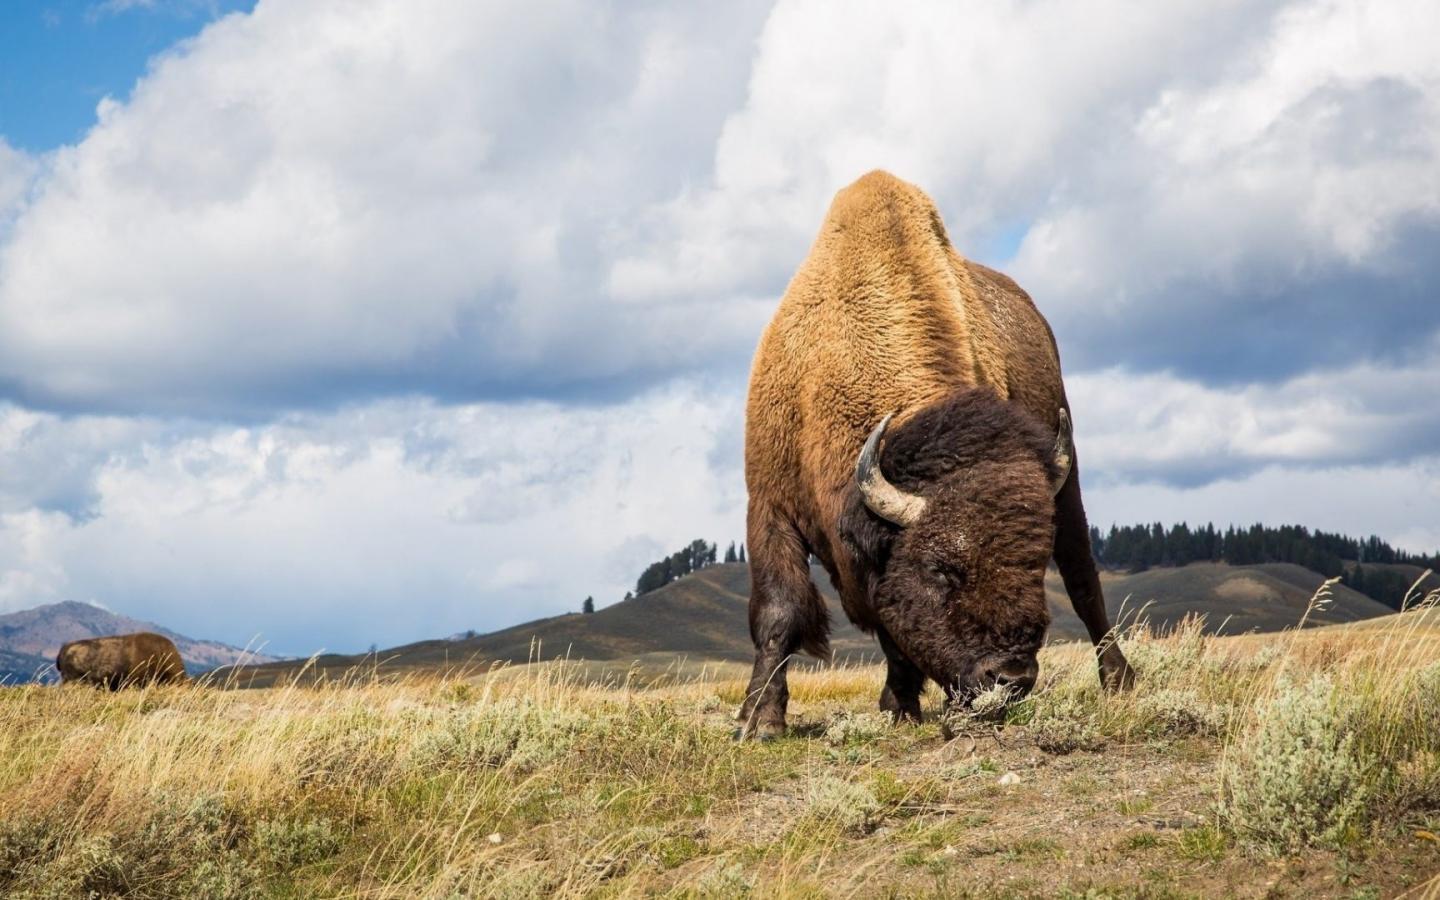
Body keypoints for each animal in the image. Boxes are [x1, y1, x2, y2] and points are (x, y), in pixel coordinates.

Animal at [740, 170, 1134, 738]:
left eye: (1034, 566)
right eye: (941, 569)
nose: (1010, 678)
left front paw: (901, 705)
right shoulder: (770, 504)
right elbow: (780, 613)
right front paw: (759, 722)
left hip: (1070, 477)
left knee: (1085, 583)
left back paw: (1119, 680)